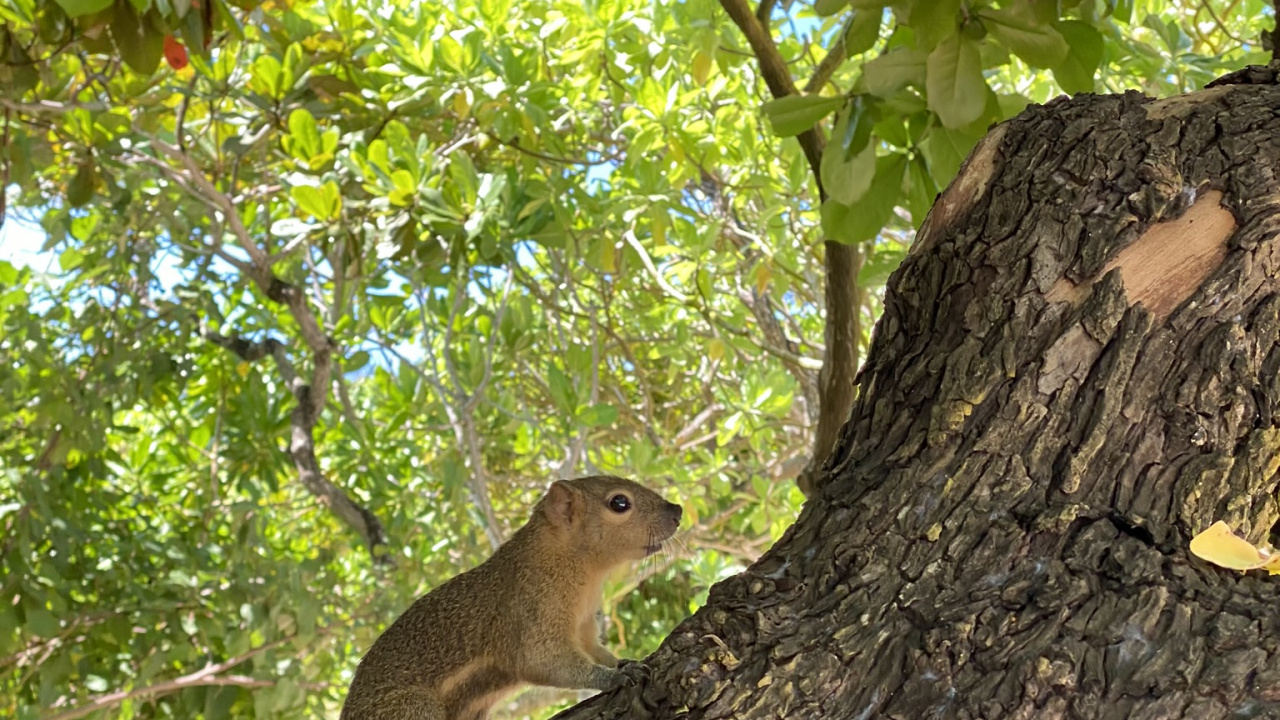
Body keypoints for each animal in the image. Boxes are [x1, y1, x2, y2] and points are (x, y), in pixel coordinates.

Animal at [340, 475, 683, 720]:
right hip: (413, 707)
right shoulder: (529, 611)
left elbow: (594, 649)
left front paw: (624, 661)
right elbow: (542, 660)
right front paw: (613, 677)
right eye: (619, 502)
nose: (677, 511)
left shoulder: (584, 625)